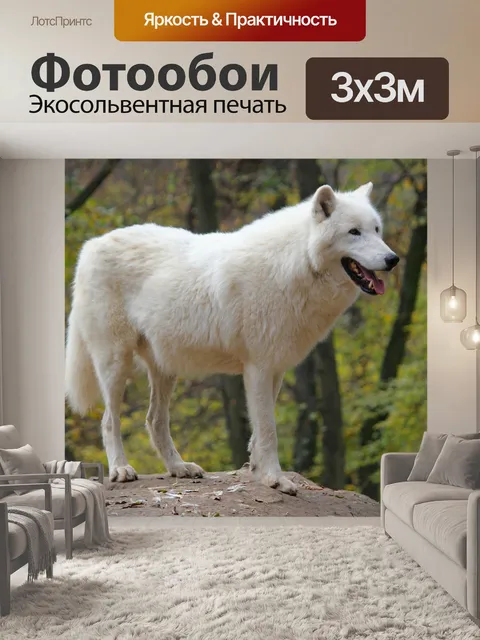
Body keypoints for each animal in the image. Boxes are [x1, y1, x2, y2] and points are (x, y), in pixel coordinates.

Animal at [65, 182, 399, 495]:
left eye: (377, 229)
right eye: (354, 232)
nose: (393, 259)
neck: (295, 265)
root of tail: (91, 245)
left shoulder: (275, 369)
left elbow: (259, 431)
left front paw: (257, 470)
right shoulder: (258, 368)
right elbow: (269, 430)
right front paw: (276, 479)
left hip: (165, 369)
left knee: (154, 421)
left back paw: (179, 468)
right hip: (115, 364)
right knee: (109, 421)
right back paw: (121, 469)